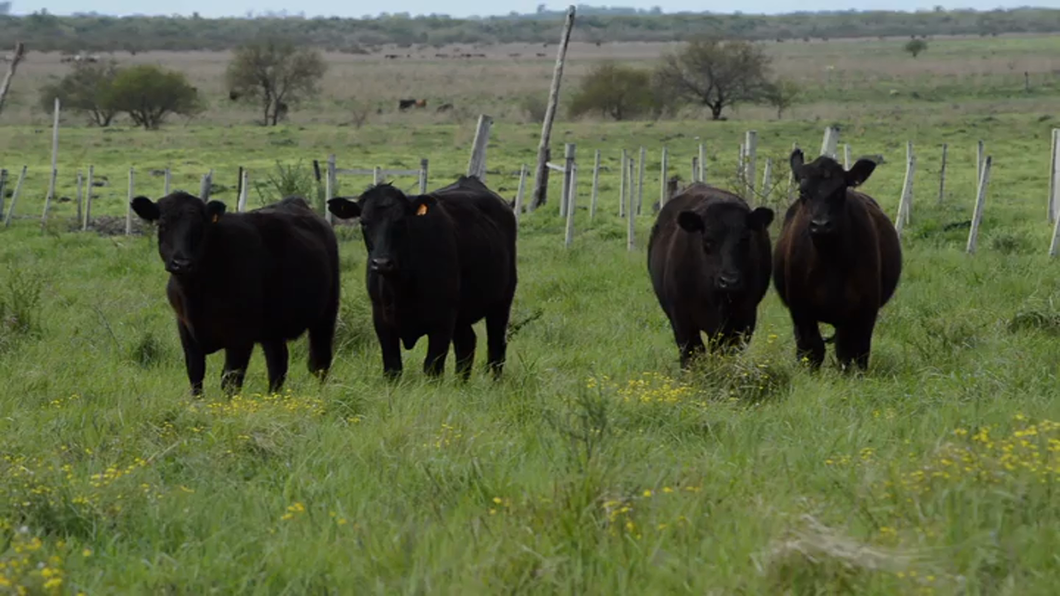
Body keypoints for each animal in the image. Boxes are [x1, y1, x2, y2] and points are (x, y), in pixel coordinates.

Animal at [129, 190, 339, 394]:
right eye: (163, 224)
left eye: (200, 226)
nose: (181, 263)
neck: (196, 292)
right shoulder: (185, 330)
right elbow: (195, 376)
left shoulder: (241, 337)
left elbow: (230, 380)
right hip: (273, 328)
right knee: (278, 365)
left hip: (326, 315)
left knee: (319, 363)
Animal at [326, 176, 517, 379]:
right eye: (363, 222)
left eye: (400, 220)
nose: (382, 263)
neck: (401, 286)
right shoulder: (381, 320)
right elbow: (392, 368)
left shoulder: (443, 321)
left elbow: (432, 368)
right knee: (466, 344)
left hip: (502, 301)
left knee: (496, 346)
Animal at [640, 182, 775, 366]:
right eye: (708, 241)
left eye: (745, 239)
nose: (729, 281)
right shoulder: (682, 318)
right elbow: (692, 353)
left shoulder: (745, 318)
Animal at [771, 148, 903, 369]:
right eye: (802, 191)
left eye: (840, 190)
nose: (821, 225)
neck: (829, 260)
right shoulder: (801, 310)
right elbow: (812, 350)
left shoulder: (864, 310)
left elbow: (854, 353)